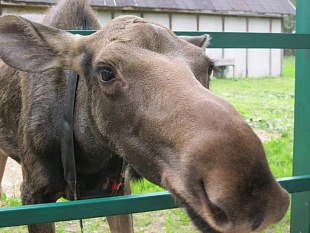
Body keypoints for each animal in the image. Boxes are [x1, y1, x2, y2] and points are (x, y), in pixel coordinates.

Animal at [0, 0, 288, 233]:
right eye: (105, 72)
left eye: (209, 66)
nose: (252, 197)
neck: (87, 158)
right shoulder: (34, 194)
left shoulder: (118, 189)